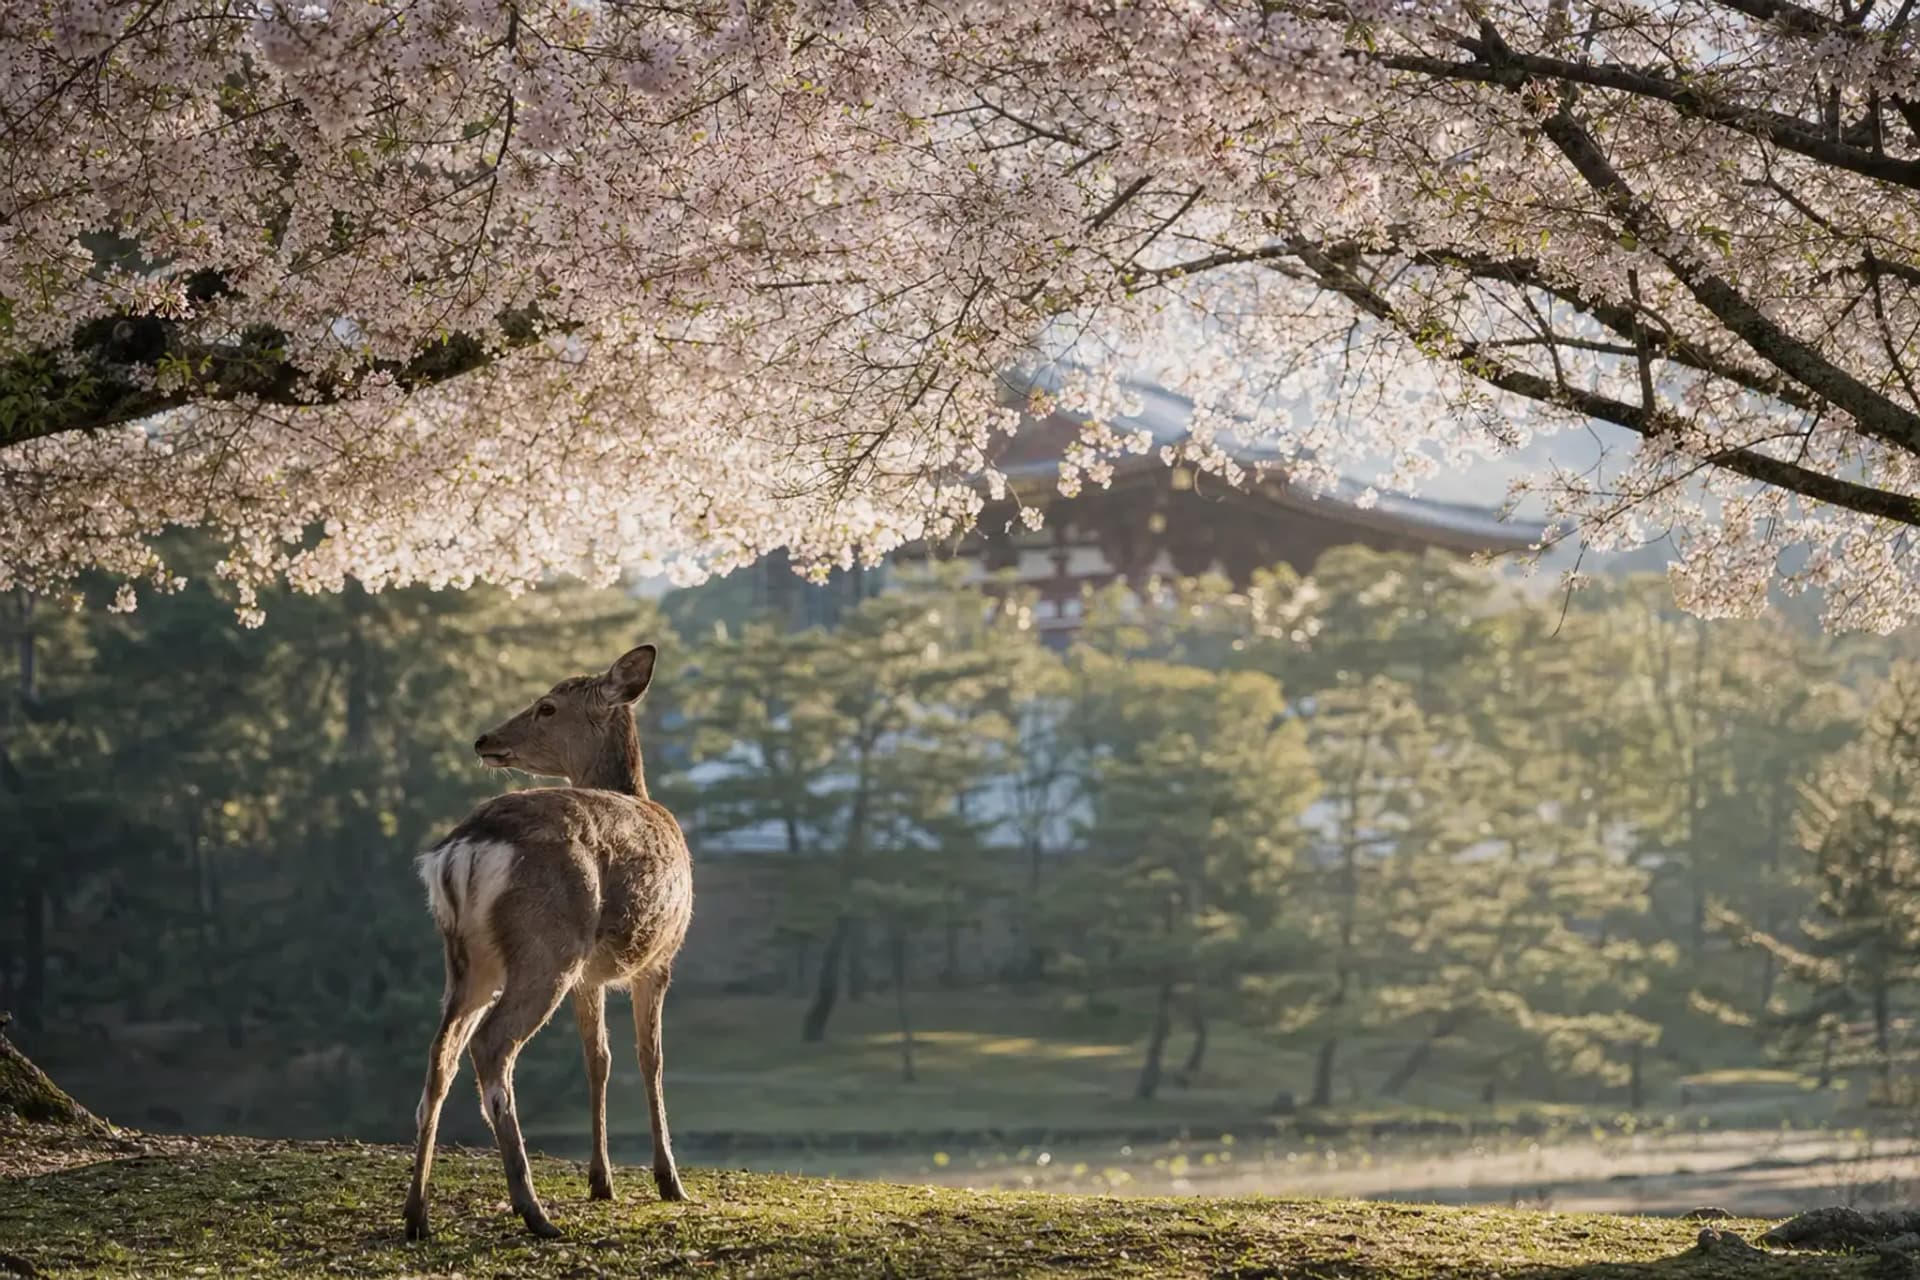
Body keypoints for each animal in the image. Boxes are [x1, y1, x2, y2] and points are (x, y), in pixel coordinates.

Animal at [402, 642, 695, 1241]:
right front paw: (669, 1182)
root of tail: (464, 849)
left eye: (547, 707)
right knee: (491, 1046)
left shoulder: (591, 974)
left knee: (440, 1054)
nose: (484, 739)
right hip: (547, 946)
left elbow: (597, 1058)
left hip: (469, 960)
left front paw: (601, 1181)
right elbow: (649, 1057)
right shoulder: (661, 956)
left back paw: (417, 1213)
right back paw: (533, 1209)